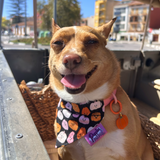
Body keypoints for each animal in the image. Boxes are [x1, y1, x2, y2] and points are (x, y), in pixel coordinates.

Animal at [48, 18, 154, 159]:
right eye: (57, 42)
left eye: (92, 41)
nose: (71, 59)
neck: (83, 106)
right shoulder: (63, 151)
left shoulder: (129, 155)